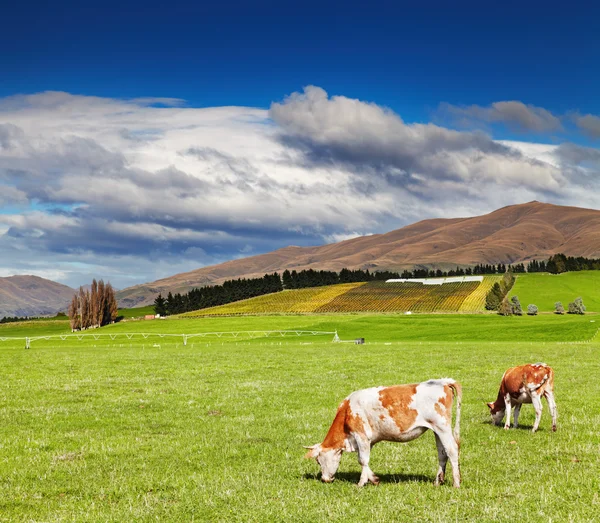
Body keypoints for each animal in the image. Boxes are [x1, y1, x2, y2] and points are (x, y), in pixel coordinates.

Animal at [302, 380, 462, 488]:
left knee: (452, 450)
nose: (325, 479)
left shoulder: (361, 435)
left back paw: (456, 483)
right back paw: (438, 481)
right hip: (437, 430)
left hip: (442, 427)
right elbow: (365, 460)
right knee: (442, 453)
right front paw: (373, 479)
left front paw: (361, 483)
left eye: (318, 461)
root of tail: (443, 381)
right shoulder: (369, 440)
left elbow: (362, 460)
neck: (347, 412)